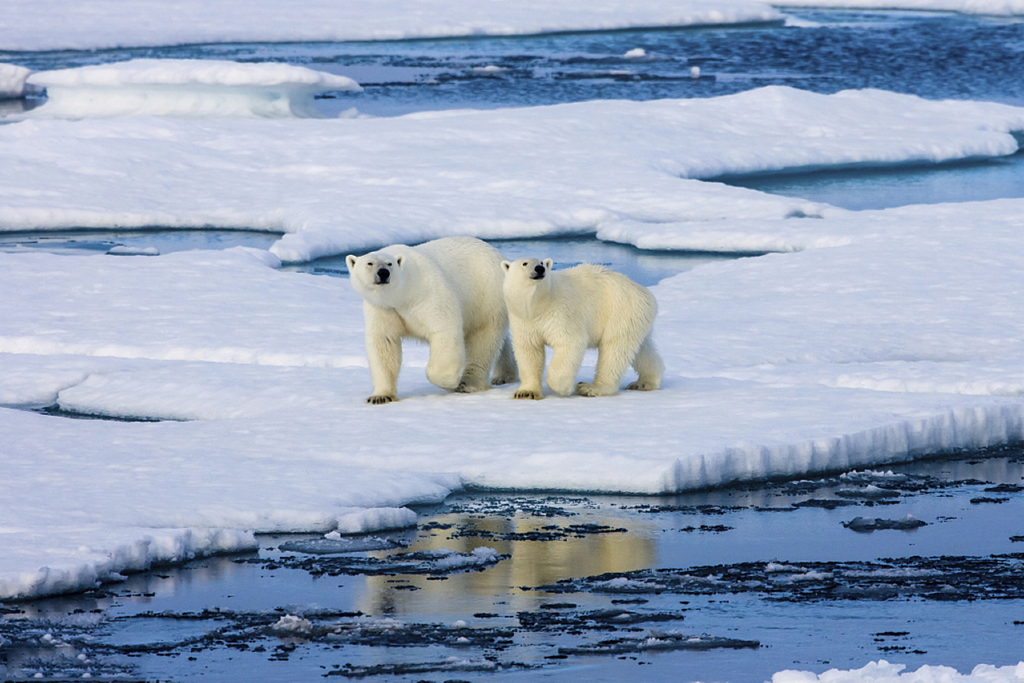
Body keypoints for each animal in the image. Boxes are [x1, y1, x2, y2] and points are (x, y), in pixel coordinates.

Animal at [348, 236, 520, 403]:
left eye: (390, 264)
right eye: (370, 263)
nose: (383, 273)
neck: (403, 294)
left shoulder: (427, 294)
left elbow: (444, 330)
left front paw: (450, 382)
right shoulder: (383, 308)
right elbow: (384, 343)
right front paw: (380, 396)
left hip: (485, 296)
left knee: (483, 339)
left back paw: (468, 383)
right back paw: (504, 375)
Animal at [501, 258, 663, 401]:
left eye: (542, 262)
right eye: (525, 263)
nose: (539, 269)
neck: (538, 305)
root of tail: (644, 292)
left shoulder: (560, 312)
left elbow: (571, 342)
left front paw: (563, 388)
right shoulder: (524, 320)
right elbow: (529, 351)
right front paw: (526, 393)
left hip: (619, 311)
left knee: (614, 350)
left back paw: (590, 387)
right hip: (635, 318)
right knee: (641, 349)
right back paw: (644, 382)